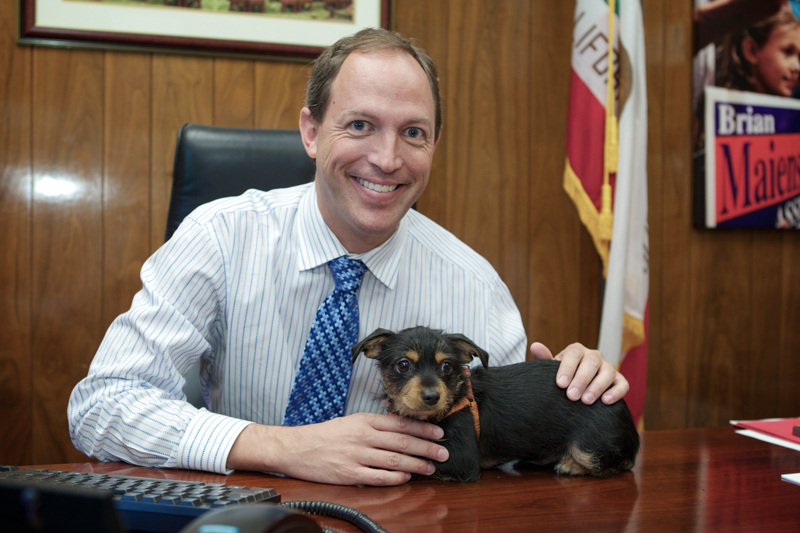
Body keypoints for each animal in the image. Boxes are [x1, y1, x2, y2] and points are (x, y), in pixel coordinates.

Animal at [354, 324, 640, 482]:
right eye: (403, 365)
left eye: (447, 366)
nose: (432, 397)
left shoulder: (460, 460)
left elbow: (419, 465)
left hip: (590, 446)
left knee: (622, 461)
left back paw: (571, 464)